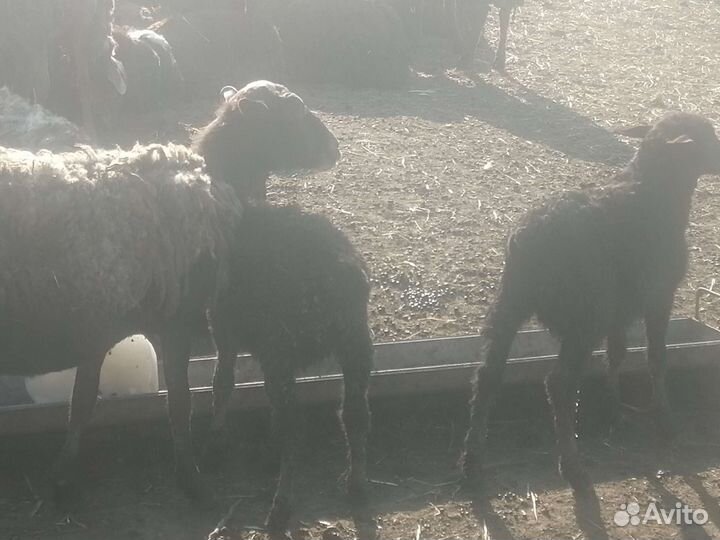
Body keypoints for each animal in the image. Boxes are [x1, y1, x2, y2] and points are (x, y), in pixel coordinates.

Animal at [0, 143, 241, 501]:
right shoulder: (174, 321)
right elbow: (180, 401)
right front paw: (191, 478)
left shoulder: (97, 329)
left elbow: (82, 401)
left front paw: (62, 475)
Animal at [183, 205, 372, 536]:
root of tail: (340, 281)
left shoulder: (223, 326)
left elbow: (222, 384)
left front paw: (214, 446)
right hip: (356, 343)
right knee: (354, 413)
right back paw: (356, 484)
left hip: (281, 346)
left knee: (294, 428)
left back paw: (281, 506)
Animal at [461, 112, 720, 501]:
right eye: (707, 138)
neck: (654, 189)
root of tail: (533, 240)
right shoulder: (659, 295)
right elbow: (656, 359)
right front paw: (666, 421)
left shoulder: (618, 311)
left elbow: (617, 354)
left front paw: (615, 411)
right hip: (585, 315)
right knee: (558, 384)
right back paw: (571, 464)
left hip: (509, 302)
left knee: (488, 375)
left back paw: (471, 460)